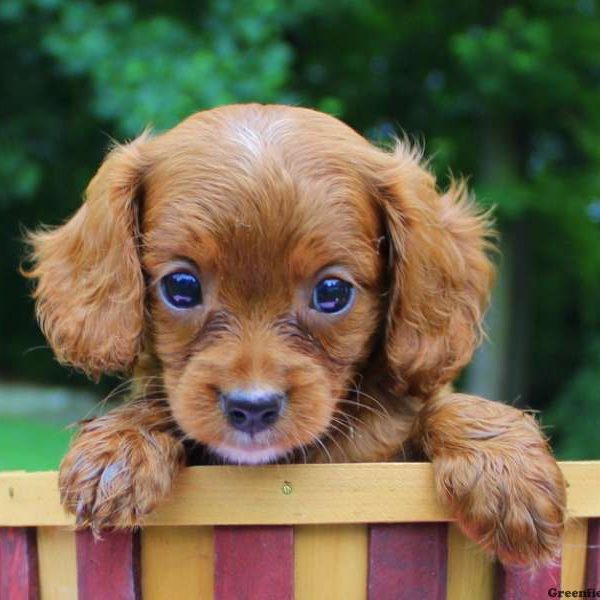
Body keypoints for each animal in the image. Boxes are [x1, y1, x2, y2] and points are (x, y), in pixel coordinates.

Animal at [24, 104, 568, 568]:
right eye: (181, 286)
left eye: (332, 292)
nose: (252, 408)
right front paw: (120, 446)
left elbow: (439, 404)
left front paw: (506, 470)